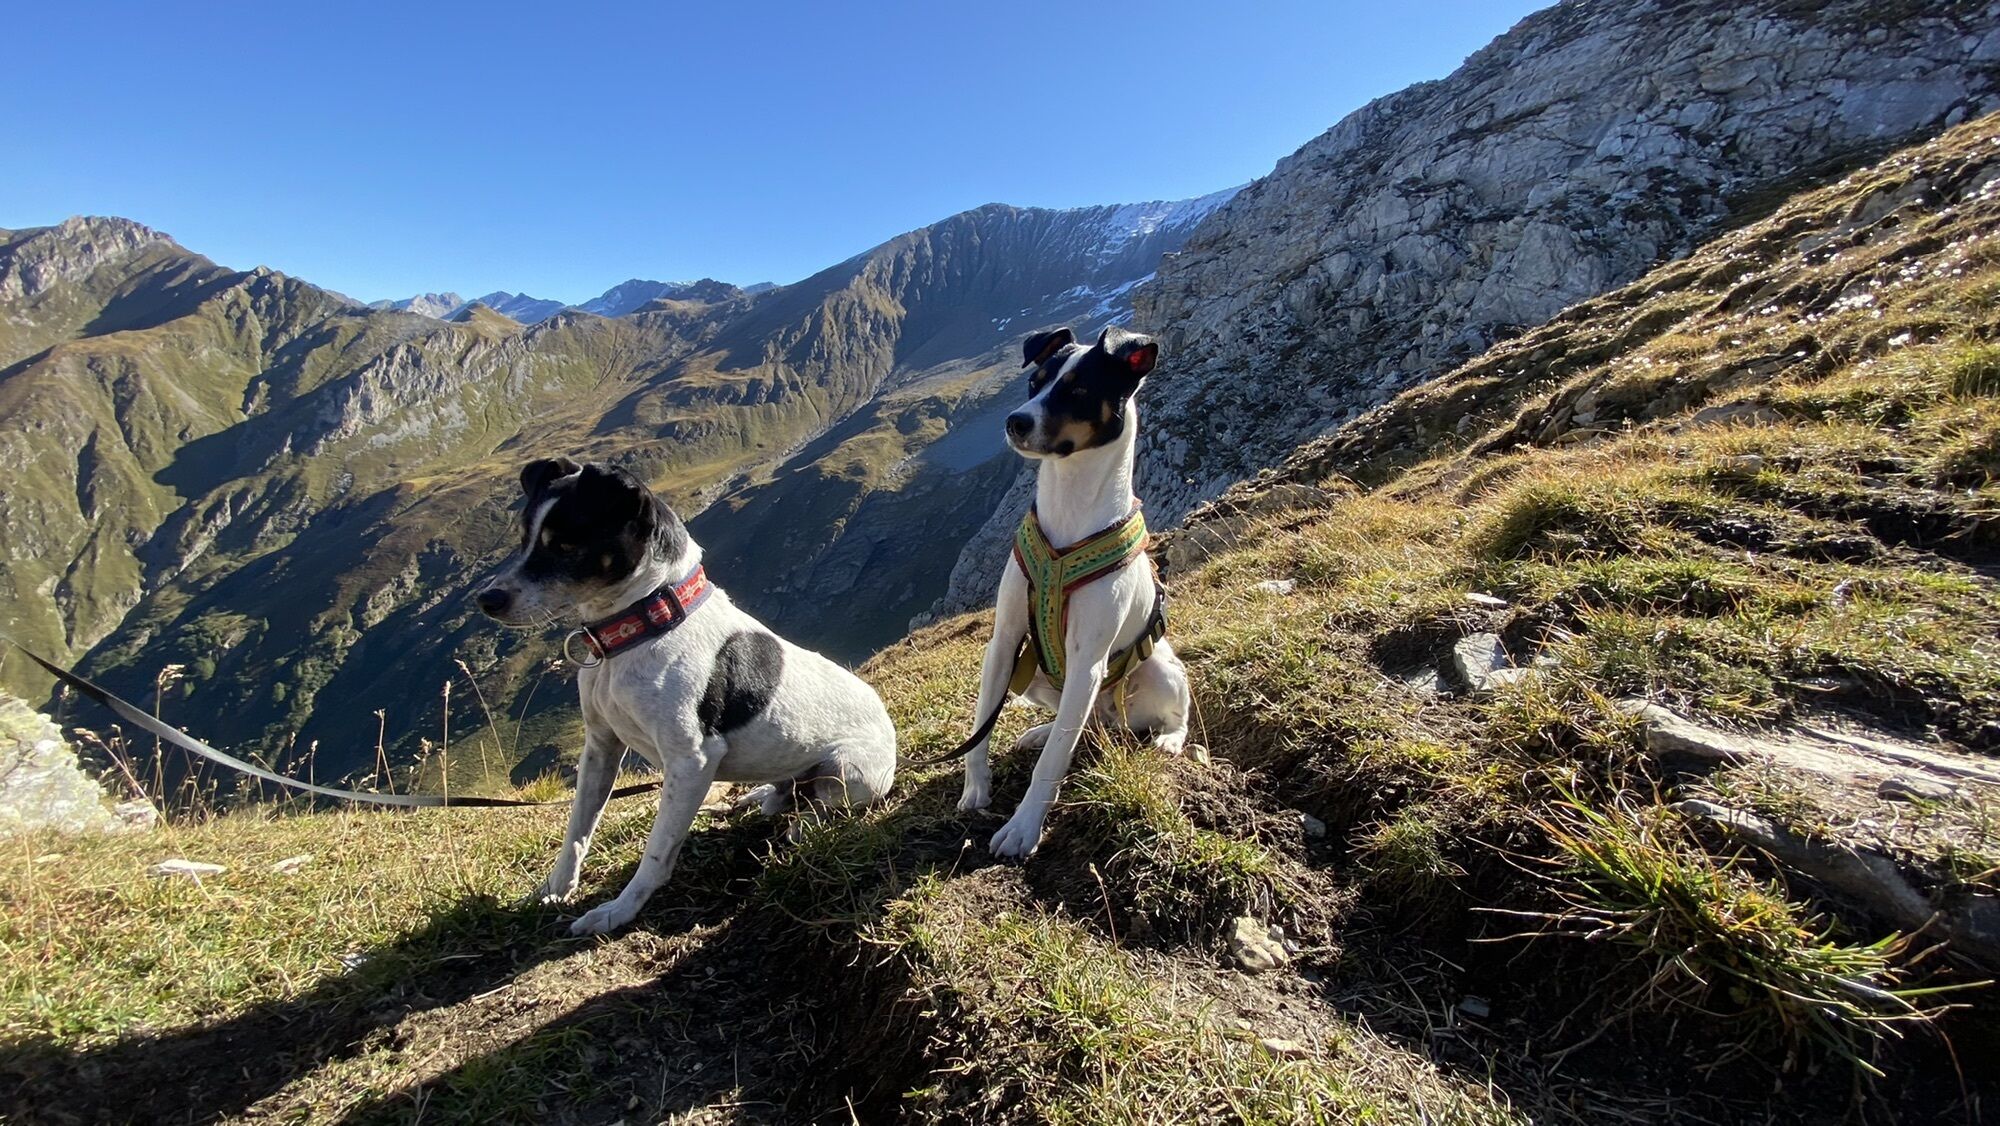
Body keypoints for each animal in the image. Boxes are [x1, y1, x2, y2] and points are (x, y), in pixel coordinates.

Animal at [476, 458, 897, 934]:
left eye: (566, 545)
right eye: (524, 539)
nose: (487, 599)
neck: (642, 625)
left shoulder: (691, 761)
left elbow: (657, 852)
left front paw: (617, 911)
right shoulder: (600, 747)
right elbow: (577, 831)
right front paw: (553, 889)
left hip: (848, 772)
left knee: (824, 805)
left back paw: (802, 825)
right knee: (782, 790)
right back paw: (759, 798)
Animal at [958, 325, 1194, 857]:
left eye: (1079, 391)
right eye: (1036, 382)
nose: (1015, 421)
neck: (1068, 509)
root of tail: (1111, 717)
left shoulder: (1088, 658)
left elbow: (1051, 765)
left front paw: (1023, 827)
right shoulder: (1004, 641)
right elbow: (981, 727)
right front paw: (976, 788)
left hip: (1157, 671)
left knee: (1166, 715)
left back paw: (1169, 739)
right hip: (1034, 677)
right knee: (1069, 724)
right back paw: (1042, 732)